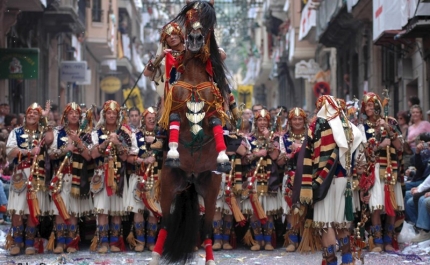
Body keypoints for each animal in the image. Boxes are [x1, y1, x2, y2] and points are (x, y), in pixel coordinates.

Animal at [151, 1, 232, 262]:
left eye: (208, 21)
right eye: (189, 18)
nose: (195, 39)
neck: (195, 79)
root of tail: (192, 178)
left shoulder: (214, 110)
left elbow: (216, 124)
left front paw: (223, 157)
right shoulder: (175, 107)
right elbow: (176, 120)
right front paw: (174, 153)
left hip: (210, 188)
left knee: (206, 229)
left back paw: (211, 260)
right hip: (169, 186)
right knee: (165, 225)